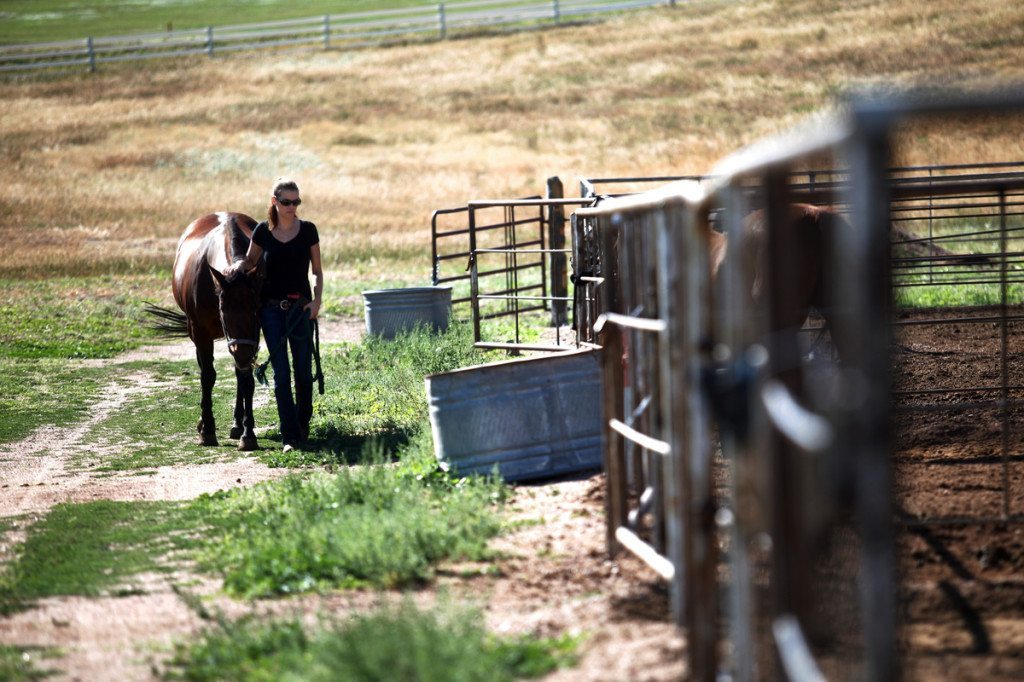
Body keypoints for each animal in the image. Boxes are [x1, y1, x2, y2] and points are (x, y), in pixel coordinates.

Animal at [145, 212, 265, 450]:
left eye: (255, 307)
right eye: (222, 308)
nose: (243, 354)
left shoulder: (251, 338)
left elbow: (245, 378)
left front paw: (248, 433)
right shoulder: (201, 333)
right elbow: (207, 376)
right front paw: (207, 429)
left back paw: (237, 424)